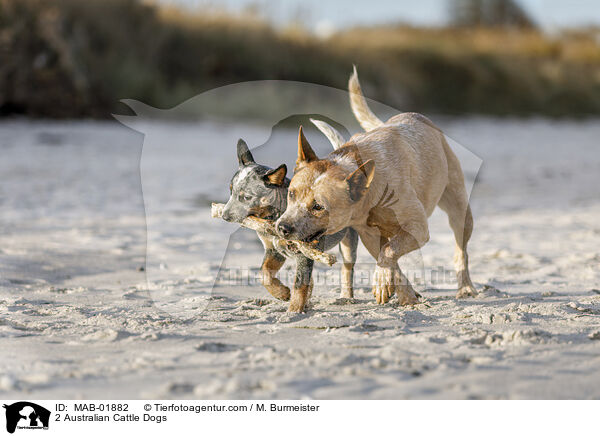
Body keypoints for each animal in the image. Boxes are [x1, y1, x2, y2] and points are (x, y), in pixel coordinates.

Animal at [224, 138, 356, 312]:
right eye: (230, 191)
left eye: (246, 197)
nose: (224, 215)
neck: (274, 217)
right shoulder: (274, 250)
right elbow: (264, 273)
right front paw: (282, 293)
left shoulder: (302, 254)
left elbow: (299, 284)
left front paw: (293, 311)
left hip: (349, 243)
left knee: (347, 269)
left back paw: (347, 297)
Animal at [278, 68, 478, 310]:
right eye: (291, 194)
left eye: (318, 207)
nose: (282, 227)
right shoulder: (369, 236)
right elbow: (391, 260)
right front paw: (405, 295)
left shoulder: (418, 228)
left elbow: (389, 252)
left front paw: (385, 285)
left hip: (459, 210)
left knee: (461, 251)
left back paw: (466, 288)